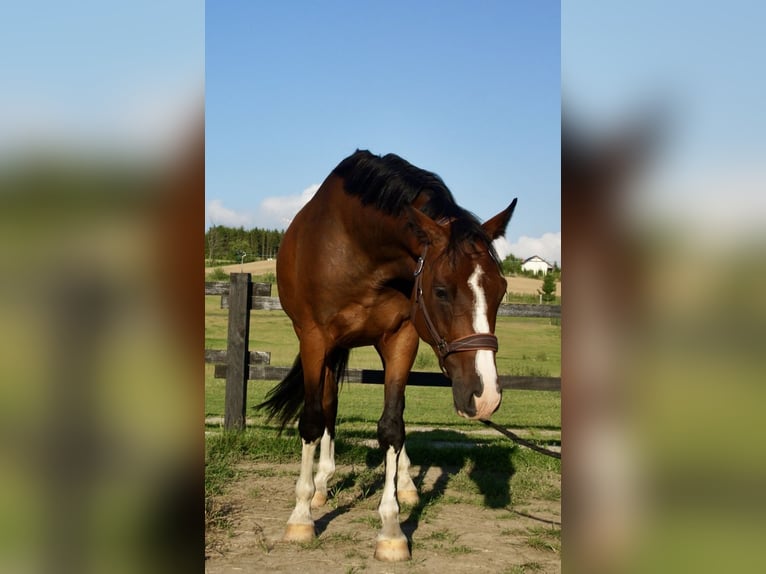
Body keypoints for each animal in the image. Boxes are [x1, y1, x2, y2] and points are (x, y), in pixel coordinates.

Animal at [257, 149, 516, 561]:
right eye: (441, 291)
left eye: (500, 289)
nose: (486, 396)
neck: (359, 247)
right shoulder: (314, 339)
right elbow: (313, 420)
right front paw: (300, 517)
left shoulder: (402, 337)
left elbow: (393, 425)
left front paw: (392, 530)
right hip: (327, 348)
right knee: (327, 405)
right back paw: (320, 487)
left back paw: (405, 483)